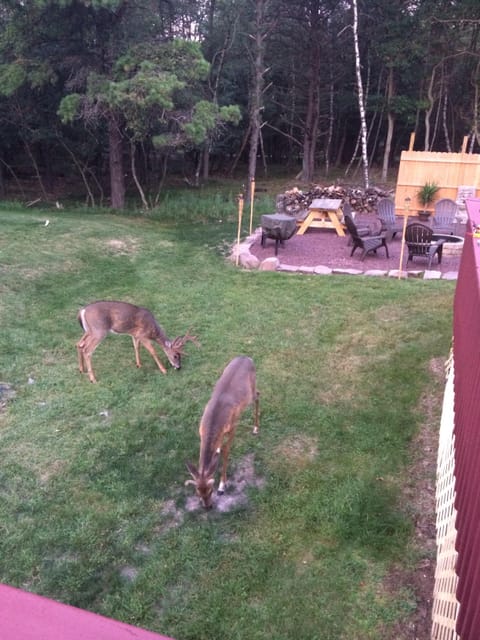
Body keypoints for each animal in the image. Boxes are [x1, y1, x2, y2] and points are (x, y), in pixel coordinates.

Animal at [186, 356, 260, 509]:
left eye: (210, 490)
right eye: (197, 491)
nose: (207, 507)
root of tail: (247, 357)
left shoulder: (233, 426)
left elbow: (226, 452)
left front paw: (222, 485)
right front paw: (217, 451)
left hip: (252, 386)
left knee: (258, 395)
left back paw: (256, 428)